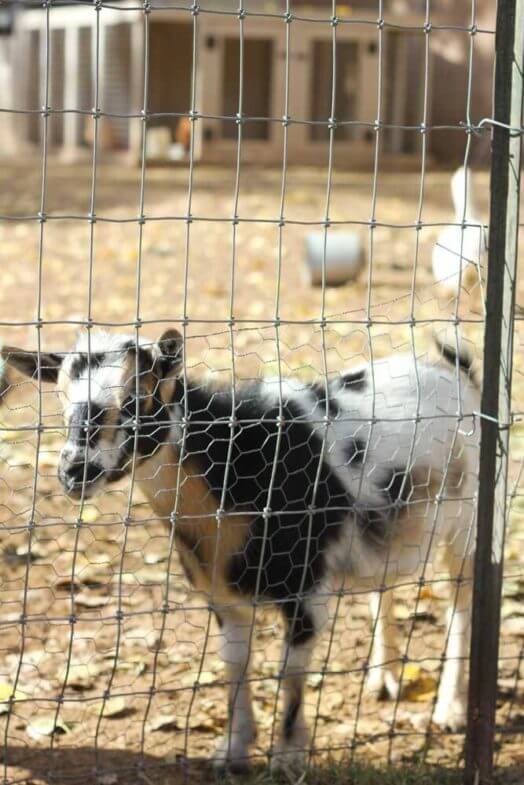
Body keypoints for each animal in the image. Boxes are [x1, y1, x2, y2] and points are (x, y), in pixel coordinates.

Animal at [2, 330, 482, 772]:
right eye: (61, 402)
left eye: (138, 399)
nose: (74, 471)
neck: (235, 469)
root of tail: (454, 369)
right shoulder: (222, 596)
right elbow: (234, 663)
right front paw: (232, 752)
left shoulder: (304, 589)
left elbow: (290, 673)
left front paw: (287, 759)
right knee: (385, 587)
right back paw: (384, 679)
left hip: (469, 520)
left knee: (461, 600)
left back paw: (451, 709)